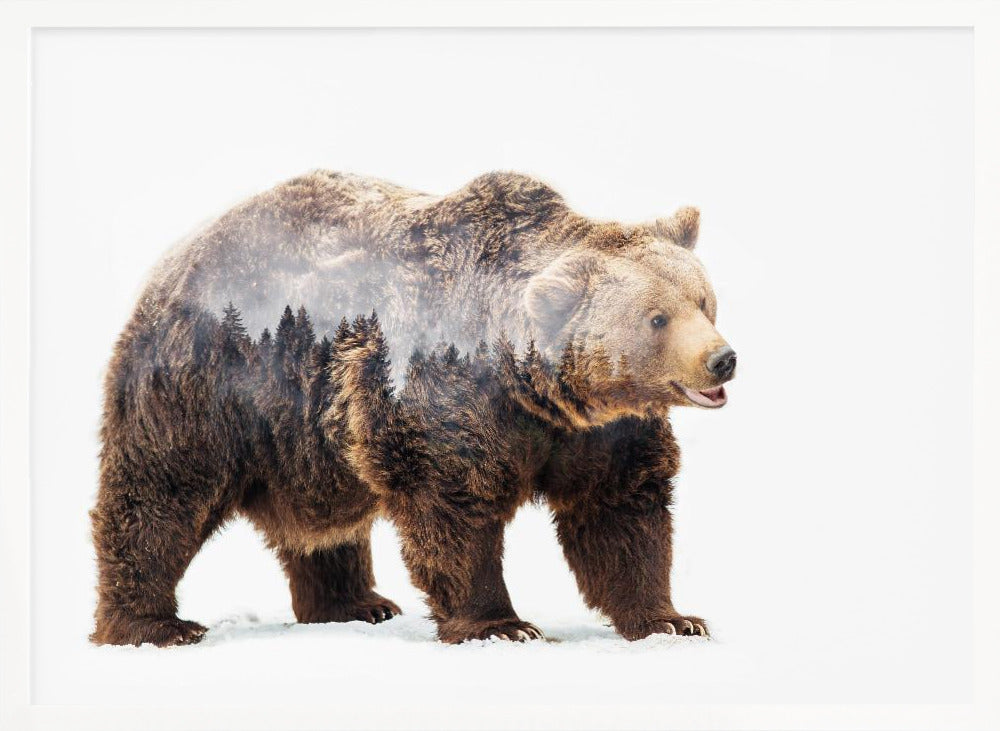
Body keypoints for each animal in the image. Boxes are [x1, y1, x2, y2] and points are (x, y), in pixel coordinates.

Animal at [90, 171, 736, 646]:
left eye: (704, 301)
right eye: (657, 318)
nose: (722, 360)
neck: (535, 390)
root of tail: (175, 256)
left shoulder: (599, 433)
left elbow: (620, 512)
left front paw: (672, 618)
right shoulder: (445, 395)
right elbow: (453, 507)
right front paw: (503, 625)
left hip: (306, 436)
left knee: (323, 527)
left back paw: (355, 603)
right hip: (210, 382)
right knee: (163, 492)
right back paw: (153, 624)